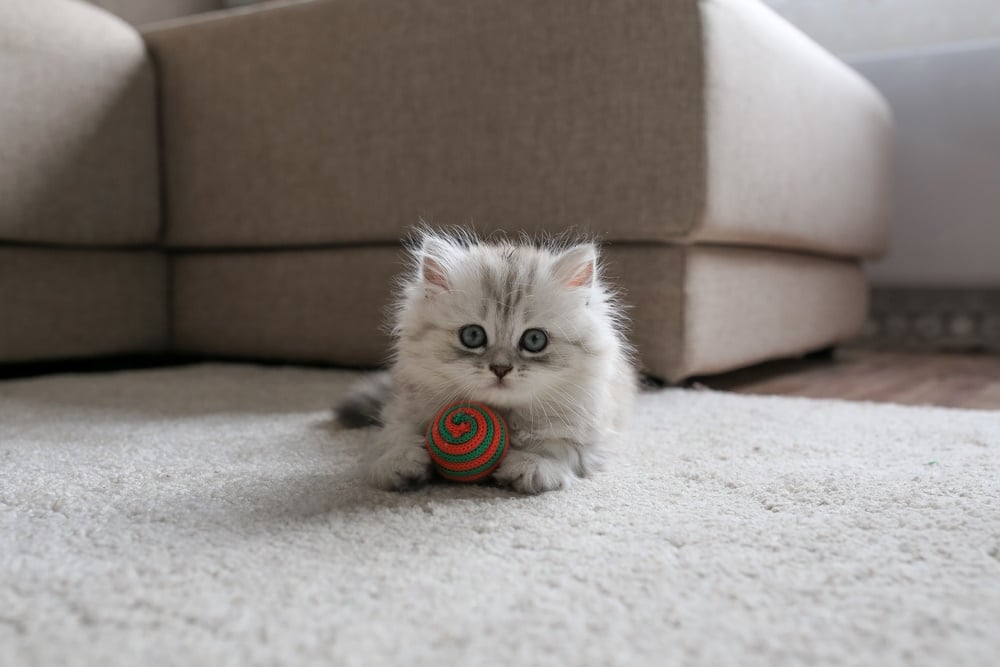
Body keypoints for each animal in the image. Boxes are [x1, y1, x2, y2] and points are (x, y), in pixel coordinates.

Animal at [336, 230, 632, 496]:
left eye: (534, 340)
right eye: (473, 336)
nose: (501, 369)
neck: (503, 415)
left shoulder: (592, 433)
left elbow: (557, 445)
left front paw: (532, 466)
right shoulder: (402, 409)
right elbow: (394, 434)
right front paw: (398, 461)